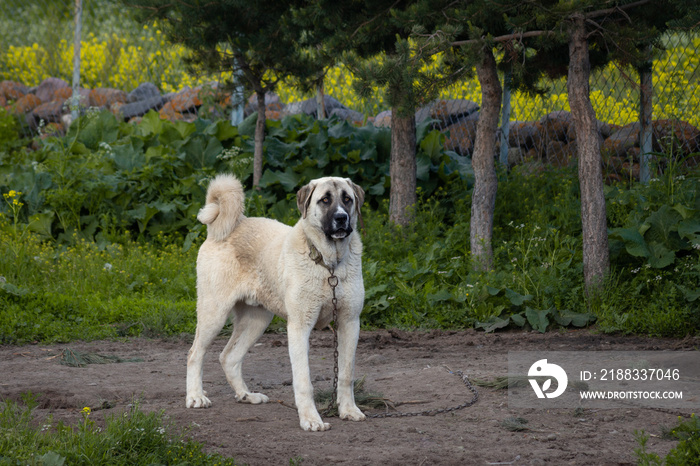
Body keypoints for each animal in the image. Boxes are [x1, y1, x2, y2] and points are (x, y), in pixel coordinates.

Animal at [187, 175, 366, 434]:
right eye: (325, 200)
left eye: (347, 199)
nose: (341, 218)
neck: (328, 264)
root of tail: (225, 228)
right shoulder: (299, 327)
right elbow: (304, 381)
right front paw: (310, 419)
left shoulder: (350, 323)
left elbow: (346, 373)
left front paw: (349, 410)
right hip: (214, 314)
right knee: (194, 354)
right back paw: (195, 397)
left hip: (257, 321)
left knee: (228, 357)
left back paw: (246, 396)